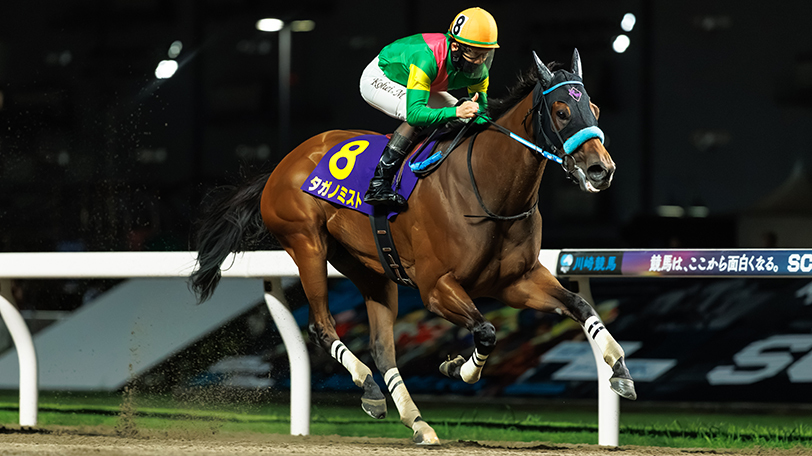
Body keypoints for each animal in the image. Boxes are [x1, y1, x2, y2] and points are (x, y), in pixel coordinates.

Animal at [190, 49, 634, 445]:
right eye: (561, 111)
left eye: (594, 108)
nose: (602, 169)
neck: (489, 188)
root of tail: (282, 165)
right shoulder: (436, 287)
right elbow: (487, 330)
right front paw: (457, 368)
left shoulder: (516, 281)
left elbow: (580, 306)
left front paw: (620, 371)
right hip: (307, 245)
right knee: (321, 324)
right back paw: (370, 387)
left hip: (369, 269)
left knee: (383, 348)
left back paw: (415, 420)